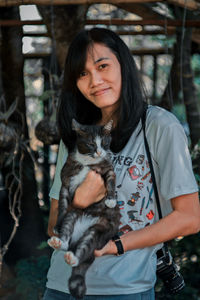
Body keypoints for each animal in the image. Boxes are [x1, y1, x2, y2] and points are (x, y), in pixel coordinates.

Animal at [48, 120, 120, 300]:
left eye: (105, 142)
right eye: (91, 144)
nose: (100, 151)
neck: (87, 162)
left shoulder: (108, 169)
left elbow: (111, 182)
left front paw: (110, 200)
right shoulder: (65, 183)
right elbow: (62, 207)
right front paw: (57, 226)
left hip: (99, 231)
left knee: (85, 247)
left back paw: (73, 258)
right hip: (74, 215)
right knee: (67, 237)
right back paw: (59, 242)